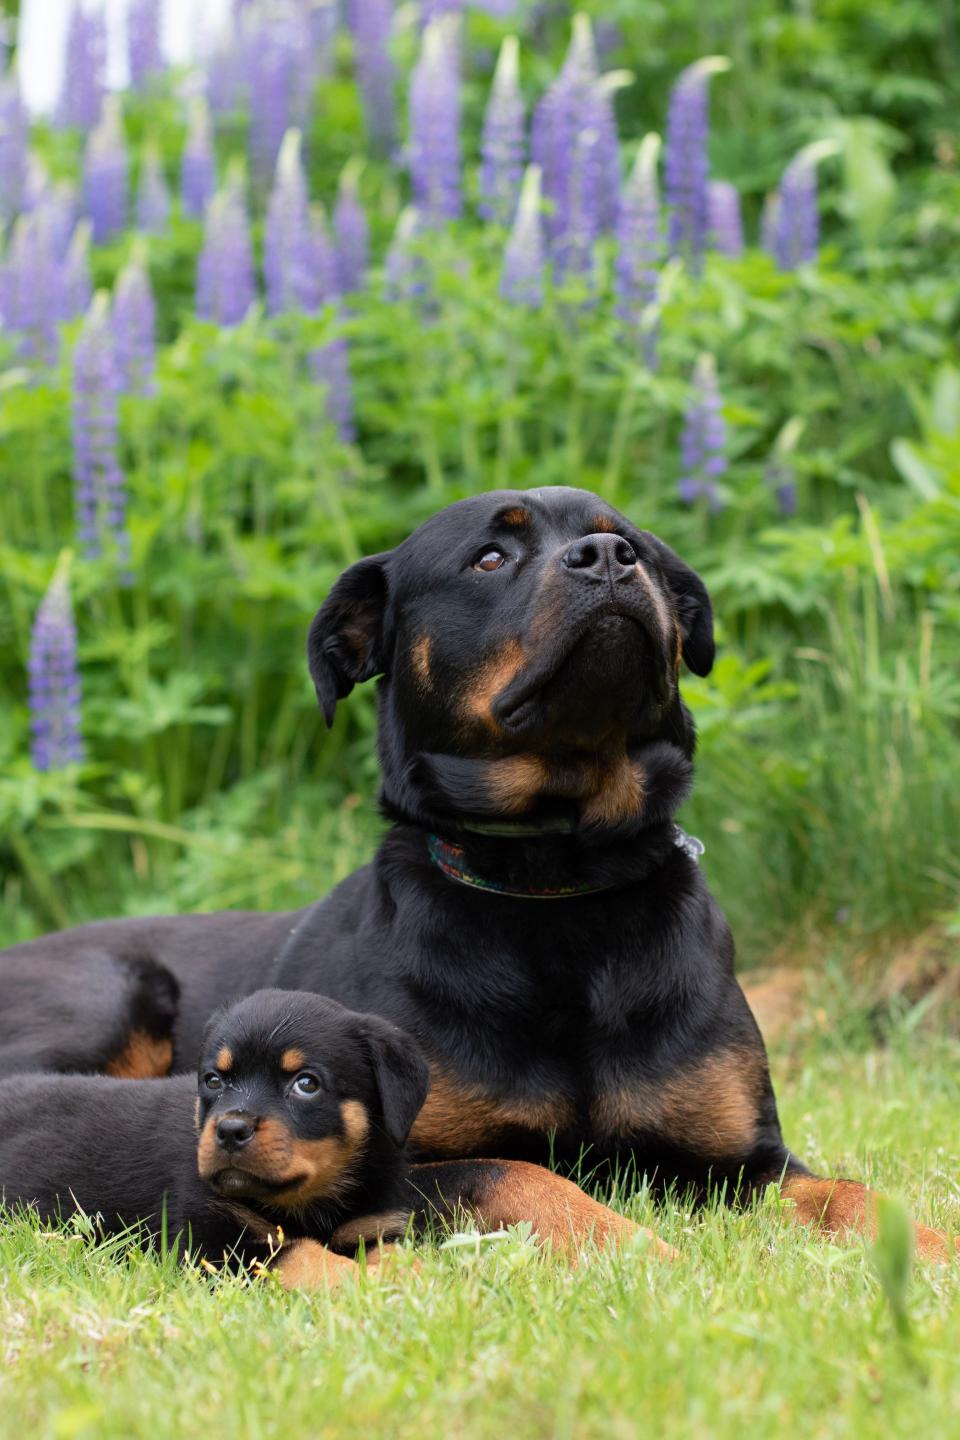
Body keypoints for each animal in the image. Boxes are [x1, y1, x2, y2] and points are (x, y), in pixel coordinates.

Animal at [1, 486, 955, 1261]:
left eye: (632, 545)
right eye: (491, 557)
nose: (607, 558)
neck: (557, 883)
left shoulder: (745, 1160)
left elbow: (854, 1196)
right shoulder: (406, 1159)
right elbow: (524, 1177)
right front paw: (633, 1247)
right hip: (106, 997)